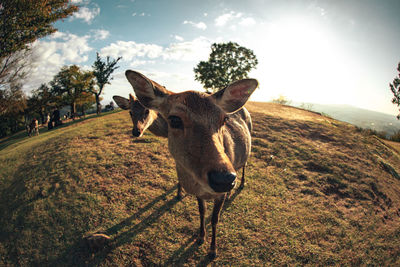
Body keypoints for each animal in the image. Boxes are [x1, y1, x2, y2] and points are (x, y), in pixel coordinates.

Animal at [123, 69, 258, 260]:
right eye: (174, 119)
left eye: (224, 120)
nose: (224, 179)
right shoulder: (198, 192)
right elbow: (201, 212)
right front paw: (200, 237)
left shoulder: (219, 194)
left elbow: (215, 219)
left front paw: (213, 251)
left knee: (245, 163)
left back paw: (242, 183)